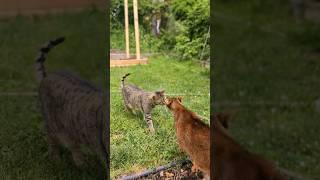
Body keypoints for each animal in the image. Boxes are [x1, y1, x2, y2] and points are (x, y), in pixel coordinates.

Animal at [34, 36, 108, 169]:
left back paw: (81, 164)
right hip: (53, 127)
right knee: (54, 144)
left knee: (74, 147)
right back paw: (59, 161)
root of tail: (47, 76)